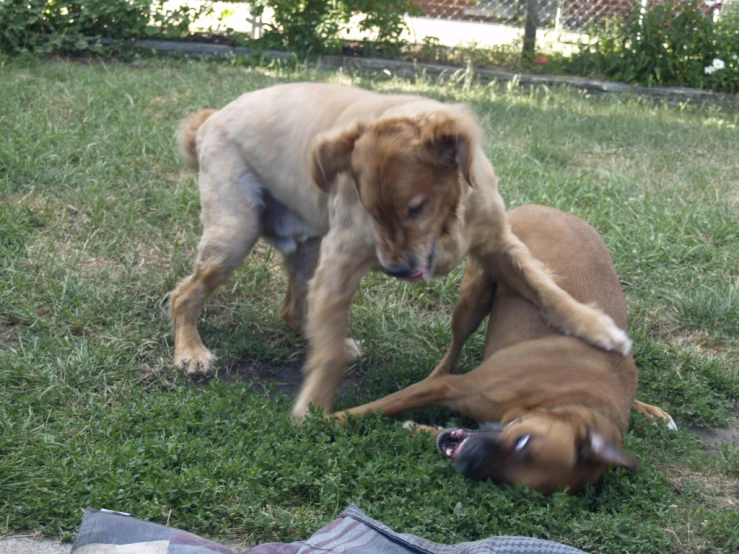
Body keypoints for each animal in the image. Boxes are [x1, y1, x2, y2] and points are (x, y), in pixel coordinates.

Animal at [171, 82, 632, 416]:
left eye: (415, 208)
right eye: (372, 210)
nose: (395, 269)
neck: (447, 221)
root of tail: (213, 119)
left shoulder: (498, 244)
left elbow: (545, 288)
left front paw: (596, 328)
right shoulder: (341, 263)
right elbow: (328, 357)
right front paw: (314, 408)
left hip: (307, 248)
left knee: (293, 309)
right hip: (236, 234)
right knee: (184, 295)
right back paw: (190, 351)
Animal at [334, 204, 676, 492]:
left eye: (507, 481)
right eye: (524, 441)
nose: (467, 461)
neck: (565, 401)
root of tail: (551, 208)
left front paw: (418, 429)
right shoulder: (454, 387)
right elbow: (370, 408)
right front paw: (322, 420)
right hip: (475, 298)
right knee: (454, 347)